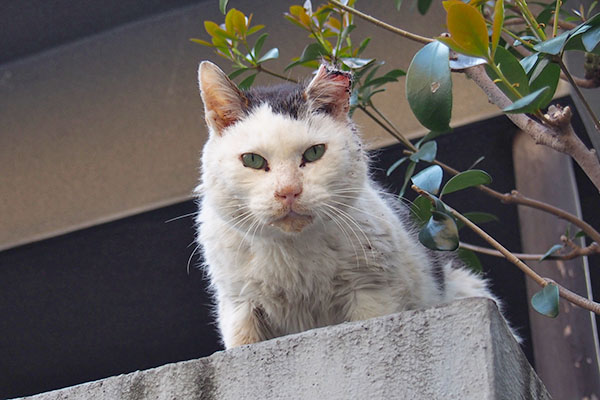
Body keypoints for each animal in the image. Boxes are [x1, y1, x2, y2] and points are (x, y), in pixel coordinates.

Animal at [193, 61, 516, 348]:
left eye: (314, 153)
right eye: (252, 160)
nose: (288, 191)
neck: (292, 255)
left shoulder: (372, 293)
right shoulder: (239, 307)